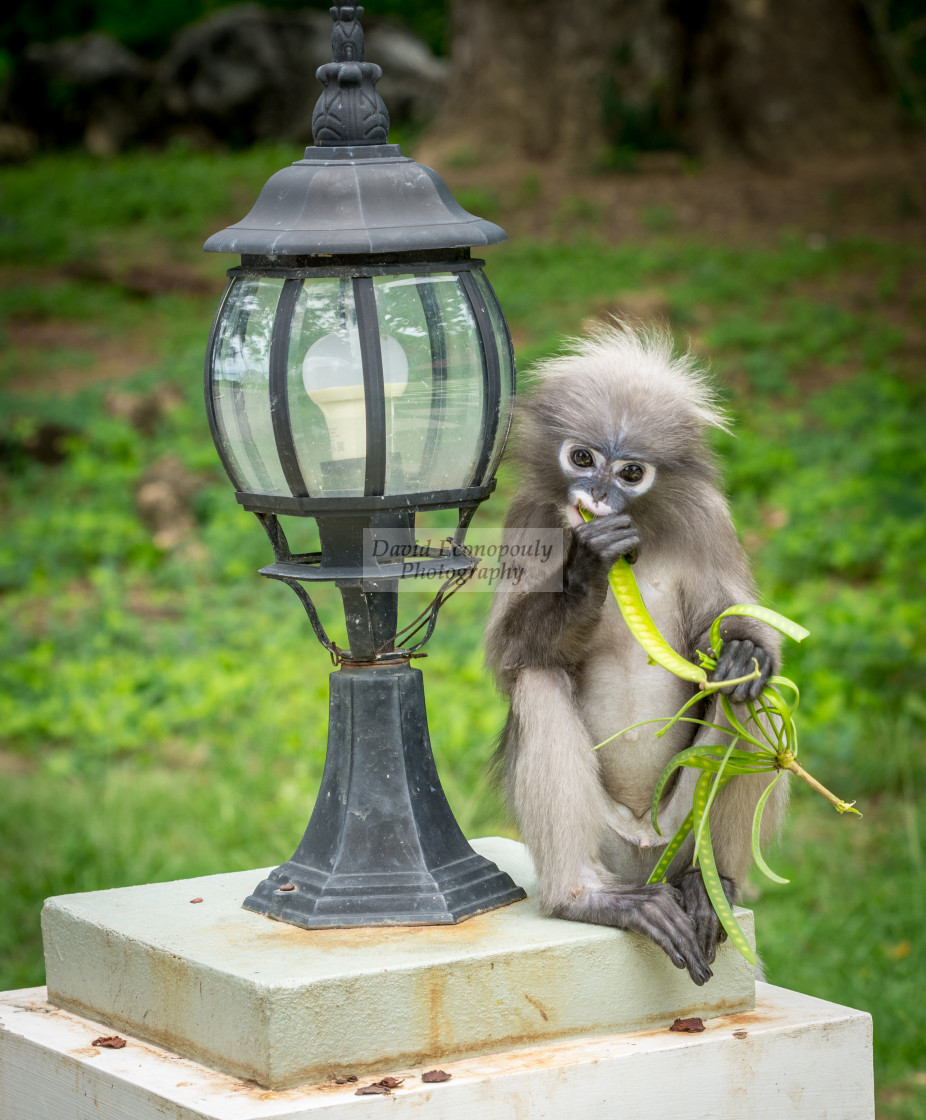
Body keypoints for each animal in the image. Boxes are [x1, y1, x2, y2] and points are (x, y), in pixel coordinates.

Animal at [485, 322, 788, 981]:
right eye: (582, 458)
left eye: (630, 472)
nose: (599, 494)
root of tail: (643, 851)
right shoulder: (529, 516)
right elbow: (506, 656)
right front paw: (586, 567)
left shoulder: (708, 518)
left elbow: (739, 631)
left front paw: (743, 650)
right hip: (604, 837)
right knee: (537, 676)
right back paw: (585, 897)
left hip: (682, 828)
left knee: (754, 698)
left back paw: (713, 889)